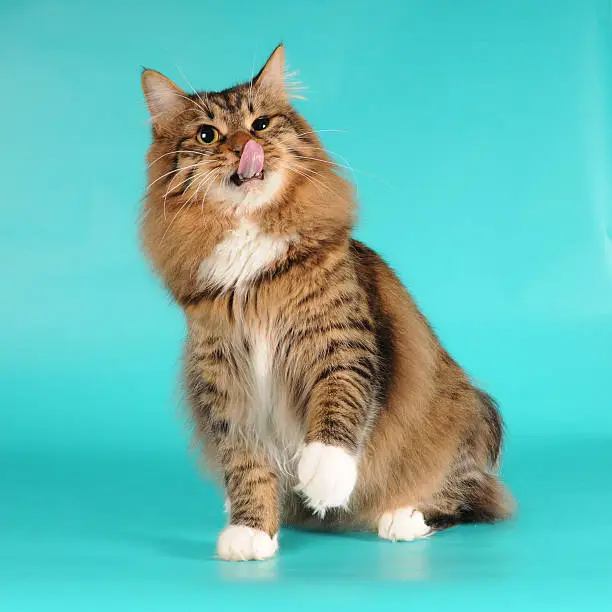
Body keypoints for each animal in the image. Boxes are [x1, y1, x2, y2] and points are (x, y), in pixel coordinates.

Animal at [140, 46, 512, 564]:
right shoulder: (224, 380)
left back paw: (403, 517)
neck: (249, 247)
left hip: (466, 415)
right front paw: (251, 530)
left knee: (474, 496)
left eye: (260, 124)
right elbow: (246, 464)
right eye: (208, 134)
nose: (243, 147)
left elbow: (337, 410)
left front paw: (324, 478)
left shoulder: (338, 343)